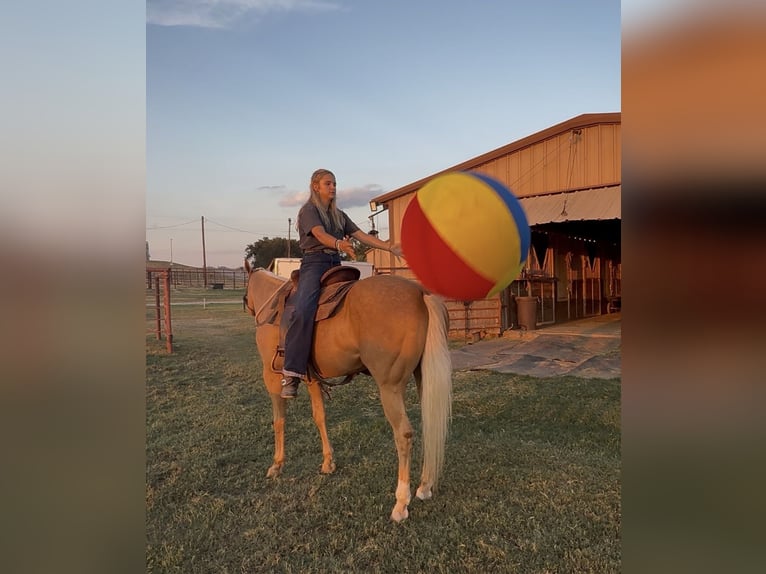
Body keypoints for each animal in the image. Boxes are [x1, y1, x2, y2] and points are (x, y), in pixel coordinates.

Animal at [243, 261, 452, 522]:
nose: (248, 306)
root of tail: (420, 294)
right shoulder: (311, 379)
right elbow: (319, 417)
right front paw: (328, 463)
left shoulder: (271, 377)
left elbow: (279, 421)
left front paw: (277, 465)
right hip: (422, 379)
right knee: (430, 424)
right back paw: (424, 486)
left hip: (390, 387)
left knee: (403, 434)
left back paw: (401, 503)